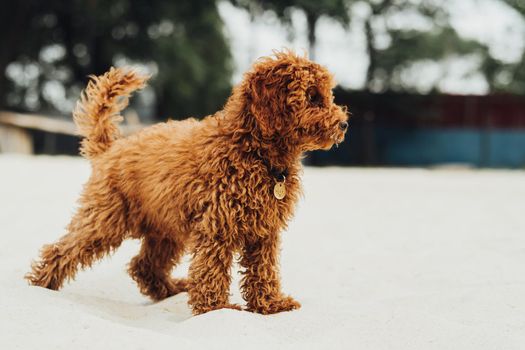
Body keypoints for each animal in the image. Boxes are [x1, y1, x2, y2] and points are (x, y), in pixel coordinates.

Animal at [26, 50, 350, 316]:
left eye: (327, 95)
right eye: (312, 96)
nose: (344, 123)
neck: (255, 153)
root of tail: (111, 148)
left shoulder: (264, 230)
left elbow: (263, 269)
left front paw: (270, 304)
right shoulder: (217, 224)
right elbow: (212, 268)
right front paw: (216, 308)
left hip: (164, 230)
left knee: (144, 265)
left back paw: (170, 290)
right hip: (106, 219)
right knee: (62, 250)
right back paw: (40, 285)